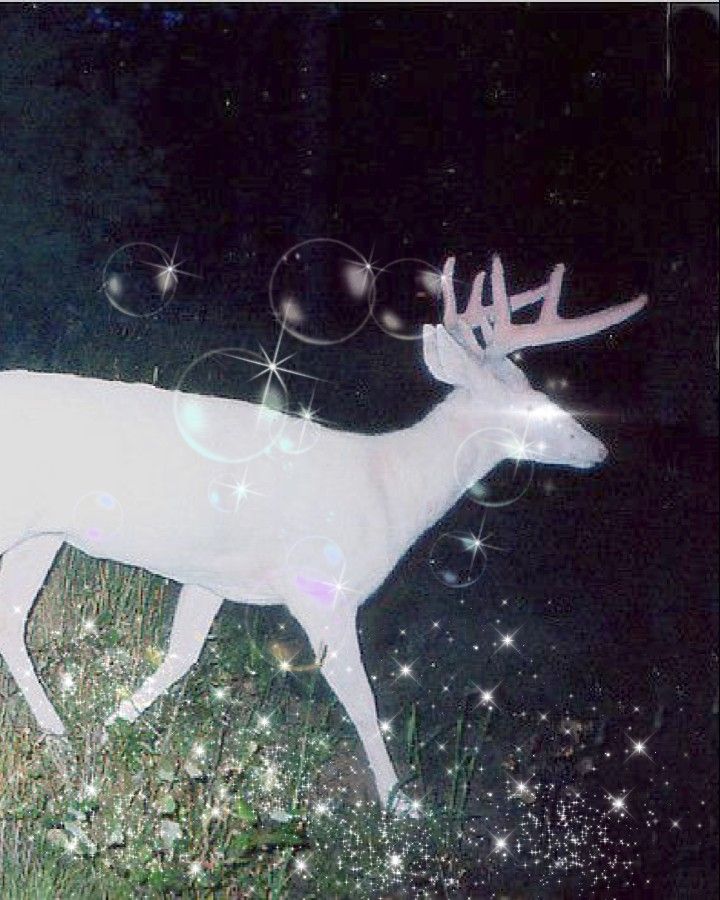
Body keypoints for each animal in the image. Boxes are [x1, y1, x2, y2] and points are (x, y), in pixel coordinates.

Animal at [0, 253, 648, 808]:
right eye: (534, 406)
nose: (597, 449)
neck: (392, 490)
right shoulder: (322, 590)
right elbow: (361, 700)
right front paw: (397, 809)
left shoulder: (210, 577)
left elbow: (180, 657)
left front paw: (108, 730)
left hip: (42, 536)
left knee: (13, 626)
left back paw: (58, 736)